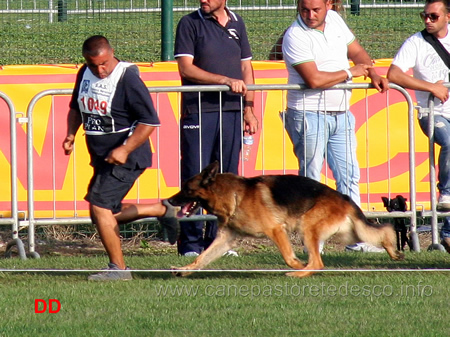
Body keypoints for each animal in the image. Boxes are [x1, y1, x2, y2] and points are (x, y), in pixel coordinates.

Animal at [169, 161, 404, 276]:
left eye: (186, 189)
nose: (169, 200)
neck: (234, 196)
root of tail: (343, 197)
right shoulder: (225, 239)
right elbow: (202, 257)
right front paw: (185, 270)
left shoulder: (276, 230)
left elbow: (288, 257)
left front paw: (298, 266)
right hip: (347, 233)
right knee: (379, 232)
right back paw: (393, 250)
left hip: (307, 228)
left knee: (318, 262)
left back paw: (300, 273)